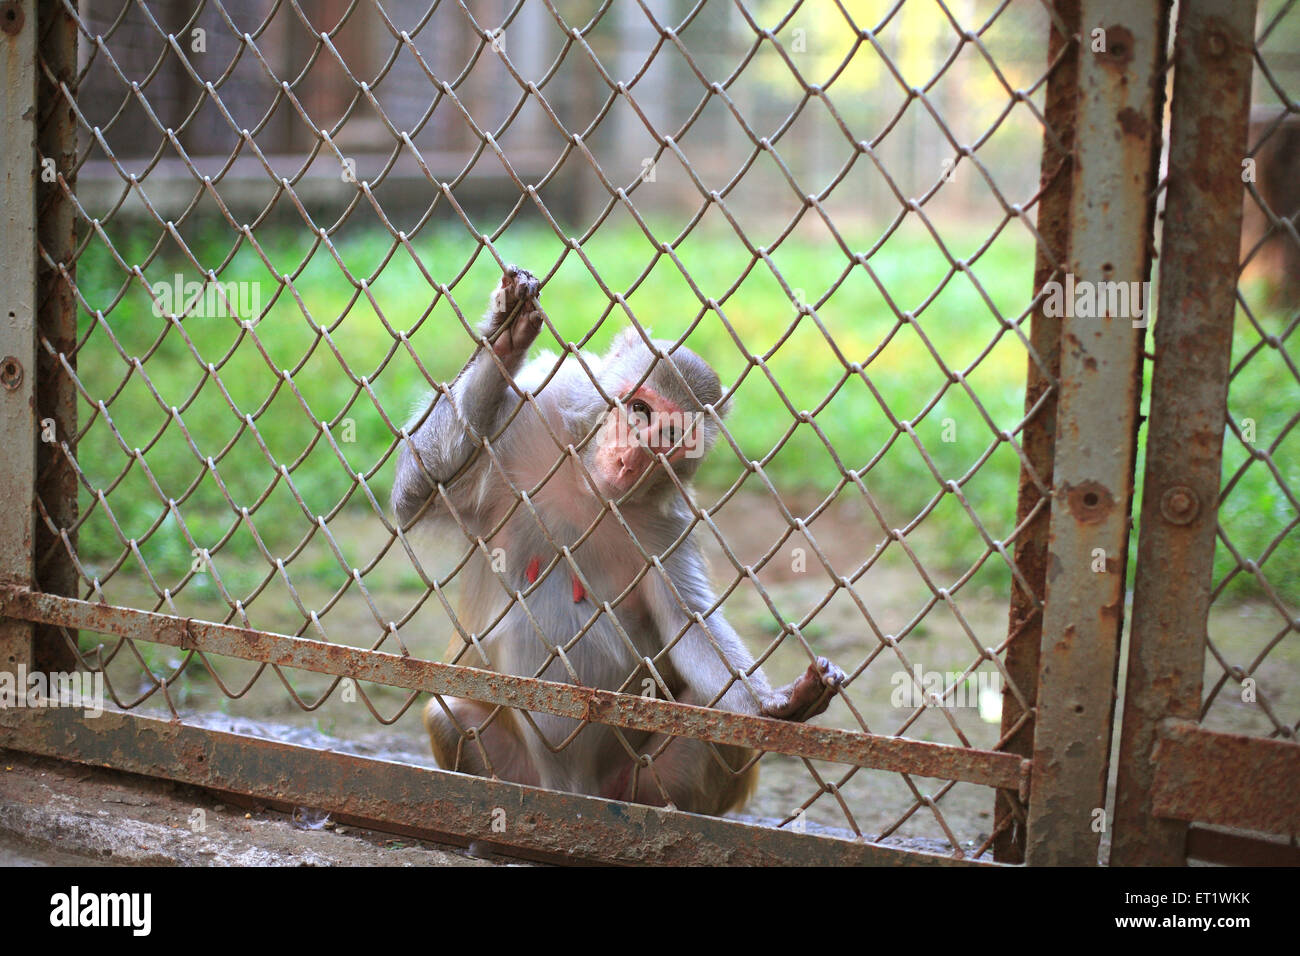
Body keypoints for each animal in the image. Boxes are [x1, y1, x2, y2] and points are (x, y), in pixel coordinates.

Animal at [390, 267, 847, 816]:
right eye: (639, 409)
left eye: (670, 434)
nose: (631, 459)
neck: (587, 486)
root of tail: (571, 788)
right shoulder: (527, 419)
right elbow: (415, 492)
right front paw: (505, 337)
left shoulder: (667, 529)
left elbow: (687, 625)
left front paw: (782, 703)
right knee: (447, 711)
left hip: (639, 781)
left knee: (714, 724)